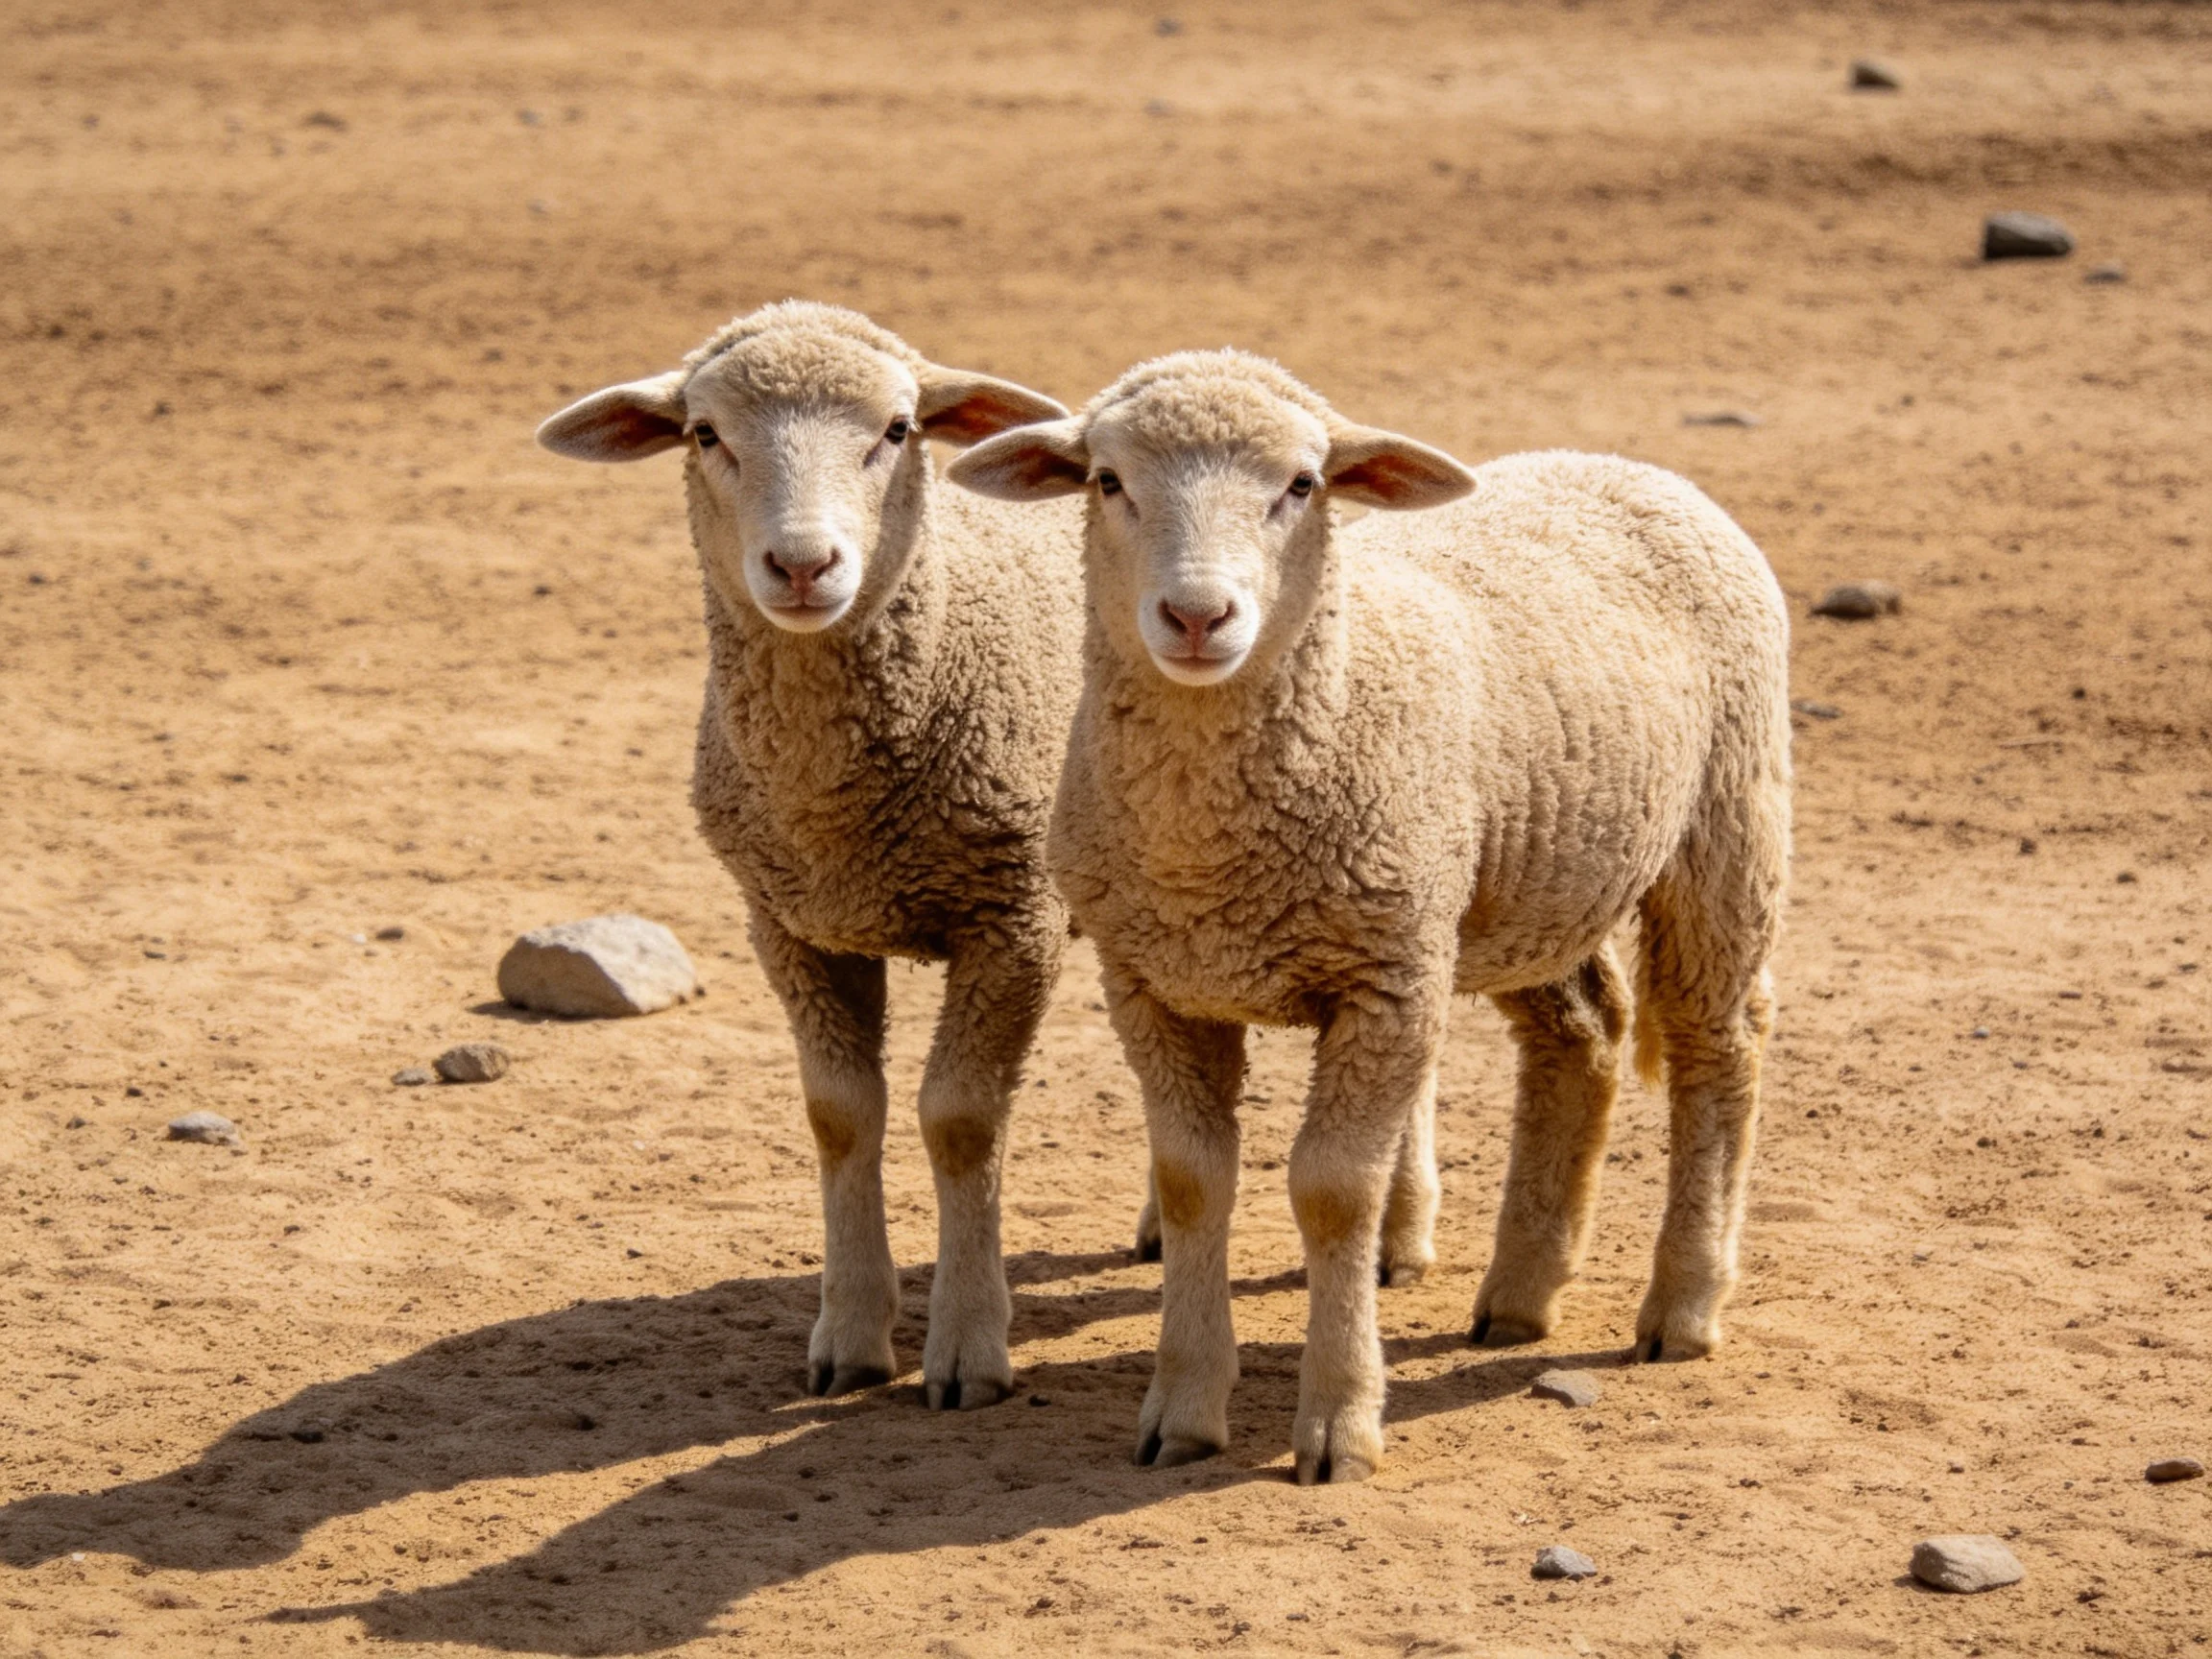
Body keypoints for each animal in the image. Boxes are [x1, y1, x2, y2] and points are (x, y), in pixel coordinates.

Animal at [537, 302, 1085, 1410]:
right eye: (705, 433)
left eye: (898, 429)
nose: (800, 565)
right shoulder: (792, 926)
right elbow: (840, 1115)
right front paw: (850, 1334)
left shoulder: (1014, 918)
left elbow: (961, 1120)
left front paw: (968, 1346)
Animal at [949, 349, 1791, 1482]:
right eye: (1108, 481)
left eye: (1302, 485)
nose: (1198, 617)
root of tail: (1619, 464)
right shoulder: (1155, 986)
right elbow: (1192, 1184)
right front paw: (1184, 1409)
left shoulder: (1387, 980)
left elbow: (1334, 1191)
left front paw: (1339, 1424)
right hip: (1525, 884)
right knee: (1585, 1035)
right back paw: (1522, 1291)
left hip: (1725, 826)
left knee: (1718, 1049)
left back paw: (1684, 1303)